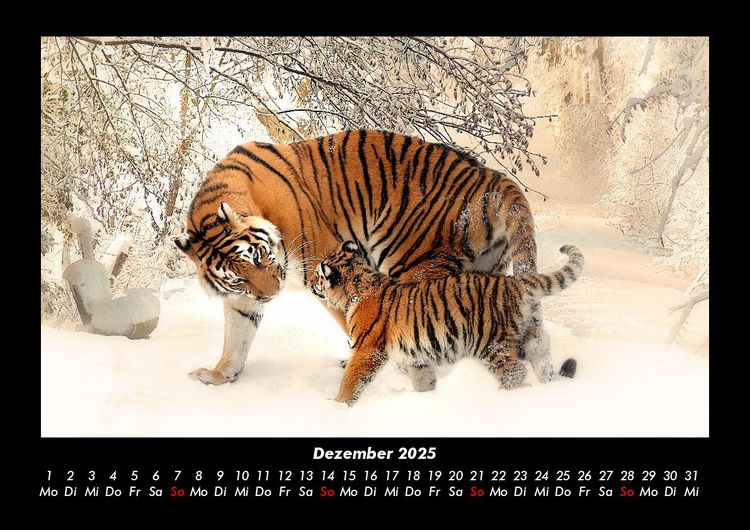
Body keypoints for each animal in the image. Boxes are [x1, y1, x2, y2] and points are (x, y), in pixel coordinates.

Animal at [174, 129, 558, 386]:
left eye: (257, 257)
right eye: (237, 277)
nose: (272, 294)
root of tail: (492, 177)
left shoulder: (323, 264)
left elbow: (358, 322)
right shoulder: (243, 297)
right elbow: (237, 334)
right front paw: (220, 374)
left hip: (415, 263)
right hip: (485, 271)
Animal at [312, 241, 584, 405]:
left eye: (317, 275)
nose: (312, 283)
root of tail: (514, 282)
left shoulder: (367, 350)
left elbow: (351, 380)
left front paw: (337, 406)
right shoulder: (416, 357)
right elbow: (423, 379)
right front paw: (427, 399)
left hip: (491, 343)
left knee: (515, 372)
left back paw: (502, 398)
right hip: (532, 337)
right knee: (543, 363)